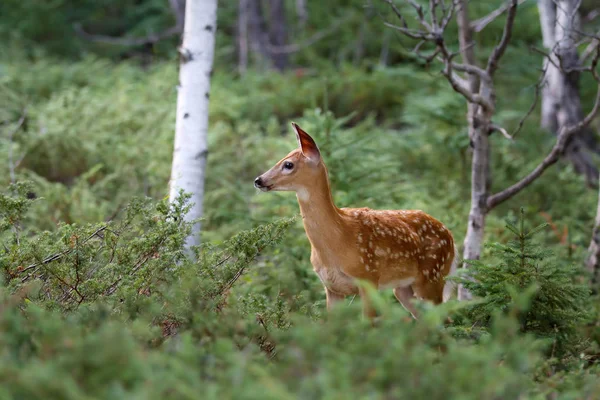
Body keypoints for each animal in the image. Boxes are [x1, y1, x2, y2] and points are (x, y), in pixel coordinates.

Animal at [252, 122, 454, 318]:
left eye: (288, 164)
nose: (258, 180)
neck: (339, 238)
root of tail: (450, 236)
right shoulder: (331, 287)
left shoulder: (369, 278)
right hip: (403, 288)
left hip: (432, 275)